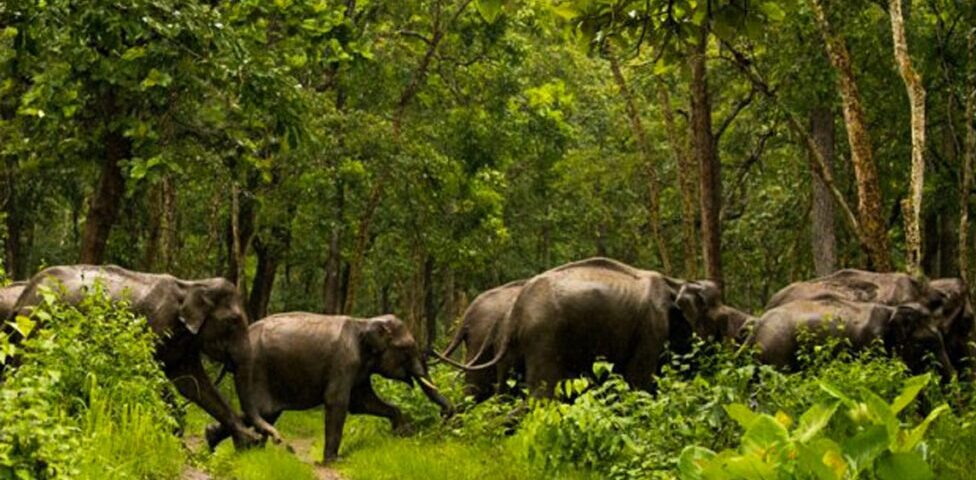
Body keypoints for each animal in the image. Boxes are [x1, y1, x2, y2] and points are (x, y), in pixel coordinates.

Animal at [1, 265, 279, 448]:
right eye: (233, 322)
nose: (270, 438)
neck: (192, 284)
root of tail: (25, 293)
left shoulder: (185, 343)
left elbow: (194, 385)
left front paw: (245, 439)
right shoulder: (153, 326)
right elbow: (150, 375)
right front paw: (176, 437)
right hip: (37, 327)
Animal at [203, 312, 454, 463]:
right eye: (407, 348)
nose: (447, 413)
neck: (365, 322)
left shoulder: (359, 369)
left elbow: (362, 403)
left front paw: (401, 433)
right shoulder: (344, 362)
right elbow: (338, 402)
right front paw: (334, 461)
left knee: (265, 413)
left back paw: (220, 442)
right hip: (256, 369)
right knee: (264, 410)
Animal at [439, 257, 753, 398]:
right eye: (723, 318)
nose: (746, 330)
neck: (676, 281)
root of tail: (517, 310)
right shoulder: (651, 330)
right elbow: (640, 381)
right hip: (543, 339)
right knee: (540, 396)